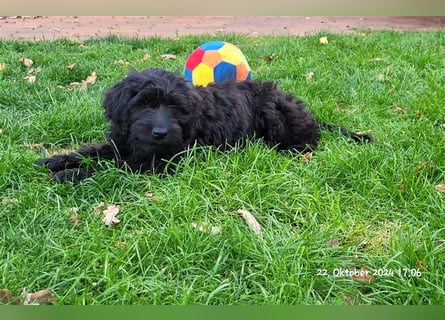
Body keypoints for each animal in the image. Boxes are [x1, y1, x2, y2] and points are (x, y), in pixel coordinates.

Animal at [37, 67, 372, 182]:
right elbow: (95, 151)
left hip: (274, 113)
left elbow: (115, 167)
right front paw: (58, 159)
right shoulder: (122, 141)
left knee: (307, 141)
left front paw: (72, 174)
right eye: (143, 104)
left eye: (175, 108)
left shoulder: (167, 160)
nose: (160, 132)